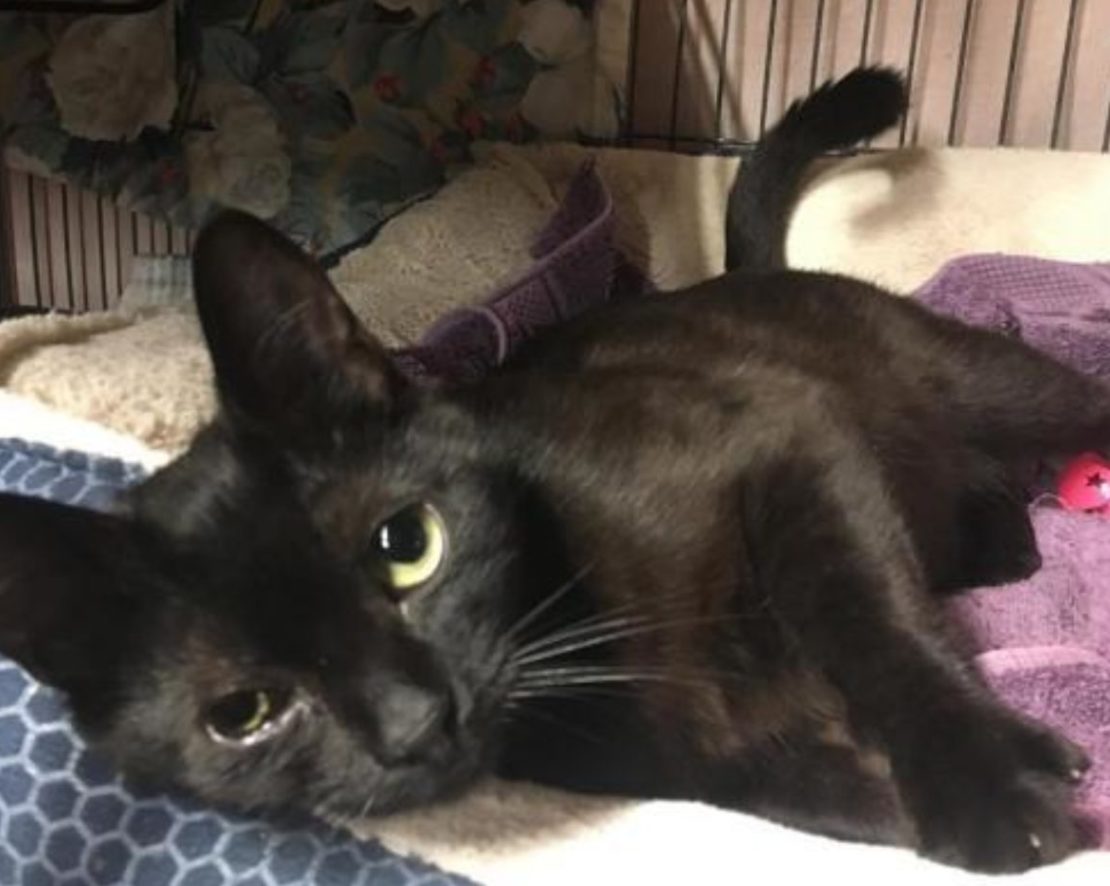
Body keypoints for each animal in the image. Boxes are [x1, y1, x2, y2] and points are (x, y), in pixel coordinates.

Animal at [0, 69, 1096, 874]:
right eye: (243, 716)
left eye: (408, 546)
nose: (414, 722)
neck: (582, 638)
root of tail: (742, 273)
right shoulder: (700, 761)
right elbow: (798, 790)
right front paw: (971, 794)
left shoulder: (788, 440)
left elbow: (869, 621)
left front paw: (989, 789)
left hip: (985, 382)